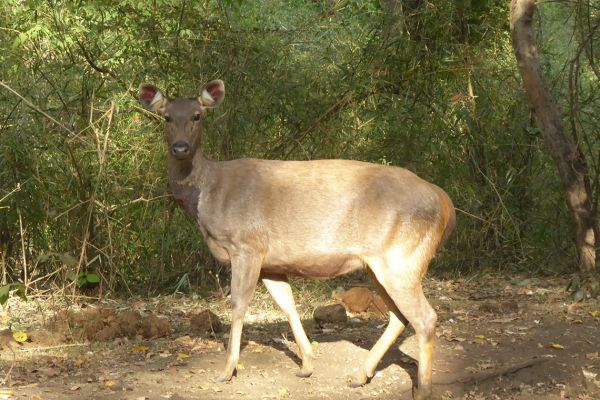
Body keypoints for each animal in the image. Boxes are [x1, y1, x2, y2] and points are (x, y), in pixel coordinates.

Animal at [137, 79, 454, 398]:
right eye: (166, 117)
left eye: (197, 115)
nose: (180, 147)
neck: (207, 196)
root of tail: (444, 201)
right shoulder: (272, 261)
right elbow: (287, 304)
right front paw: (307, 364)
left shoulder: (247, 245)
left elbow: (238, 304)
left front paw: (227, 370)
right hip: (382, 263)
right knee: (399, 316)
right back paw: (359, 375)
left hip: (402, 256)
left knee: (425, 317)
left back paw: (422, 389)